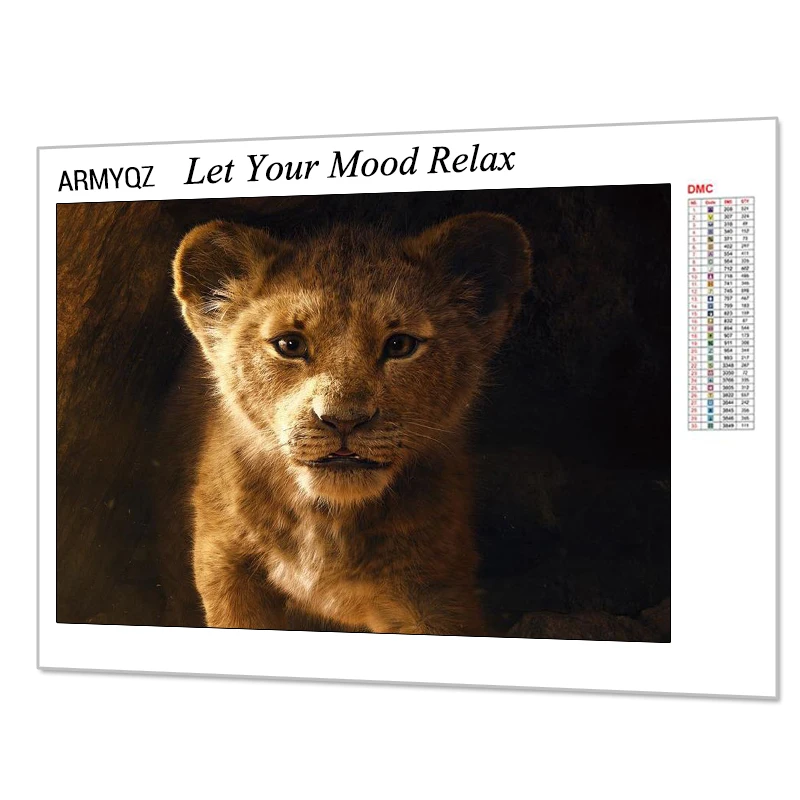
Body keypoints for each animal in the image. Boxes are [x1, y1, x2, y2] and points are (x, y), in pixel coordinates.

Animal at [167, 212, 531, 635]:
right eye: (290, 345)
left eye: (400, 345)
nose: (343, 420)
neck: (328, 522)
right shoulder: (225, 563)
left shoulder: (436, 590)